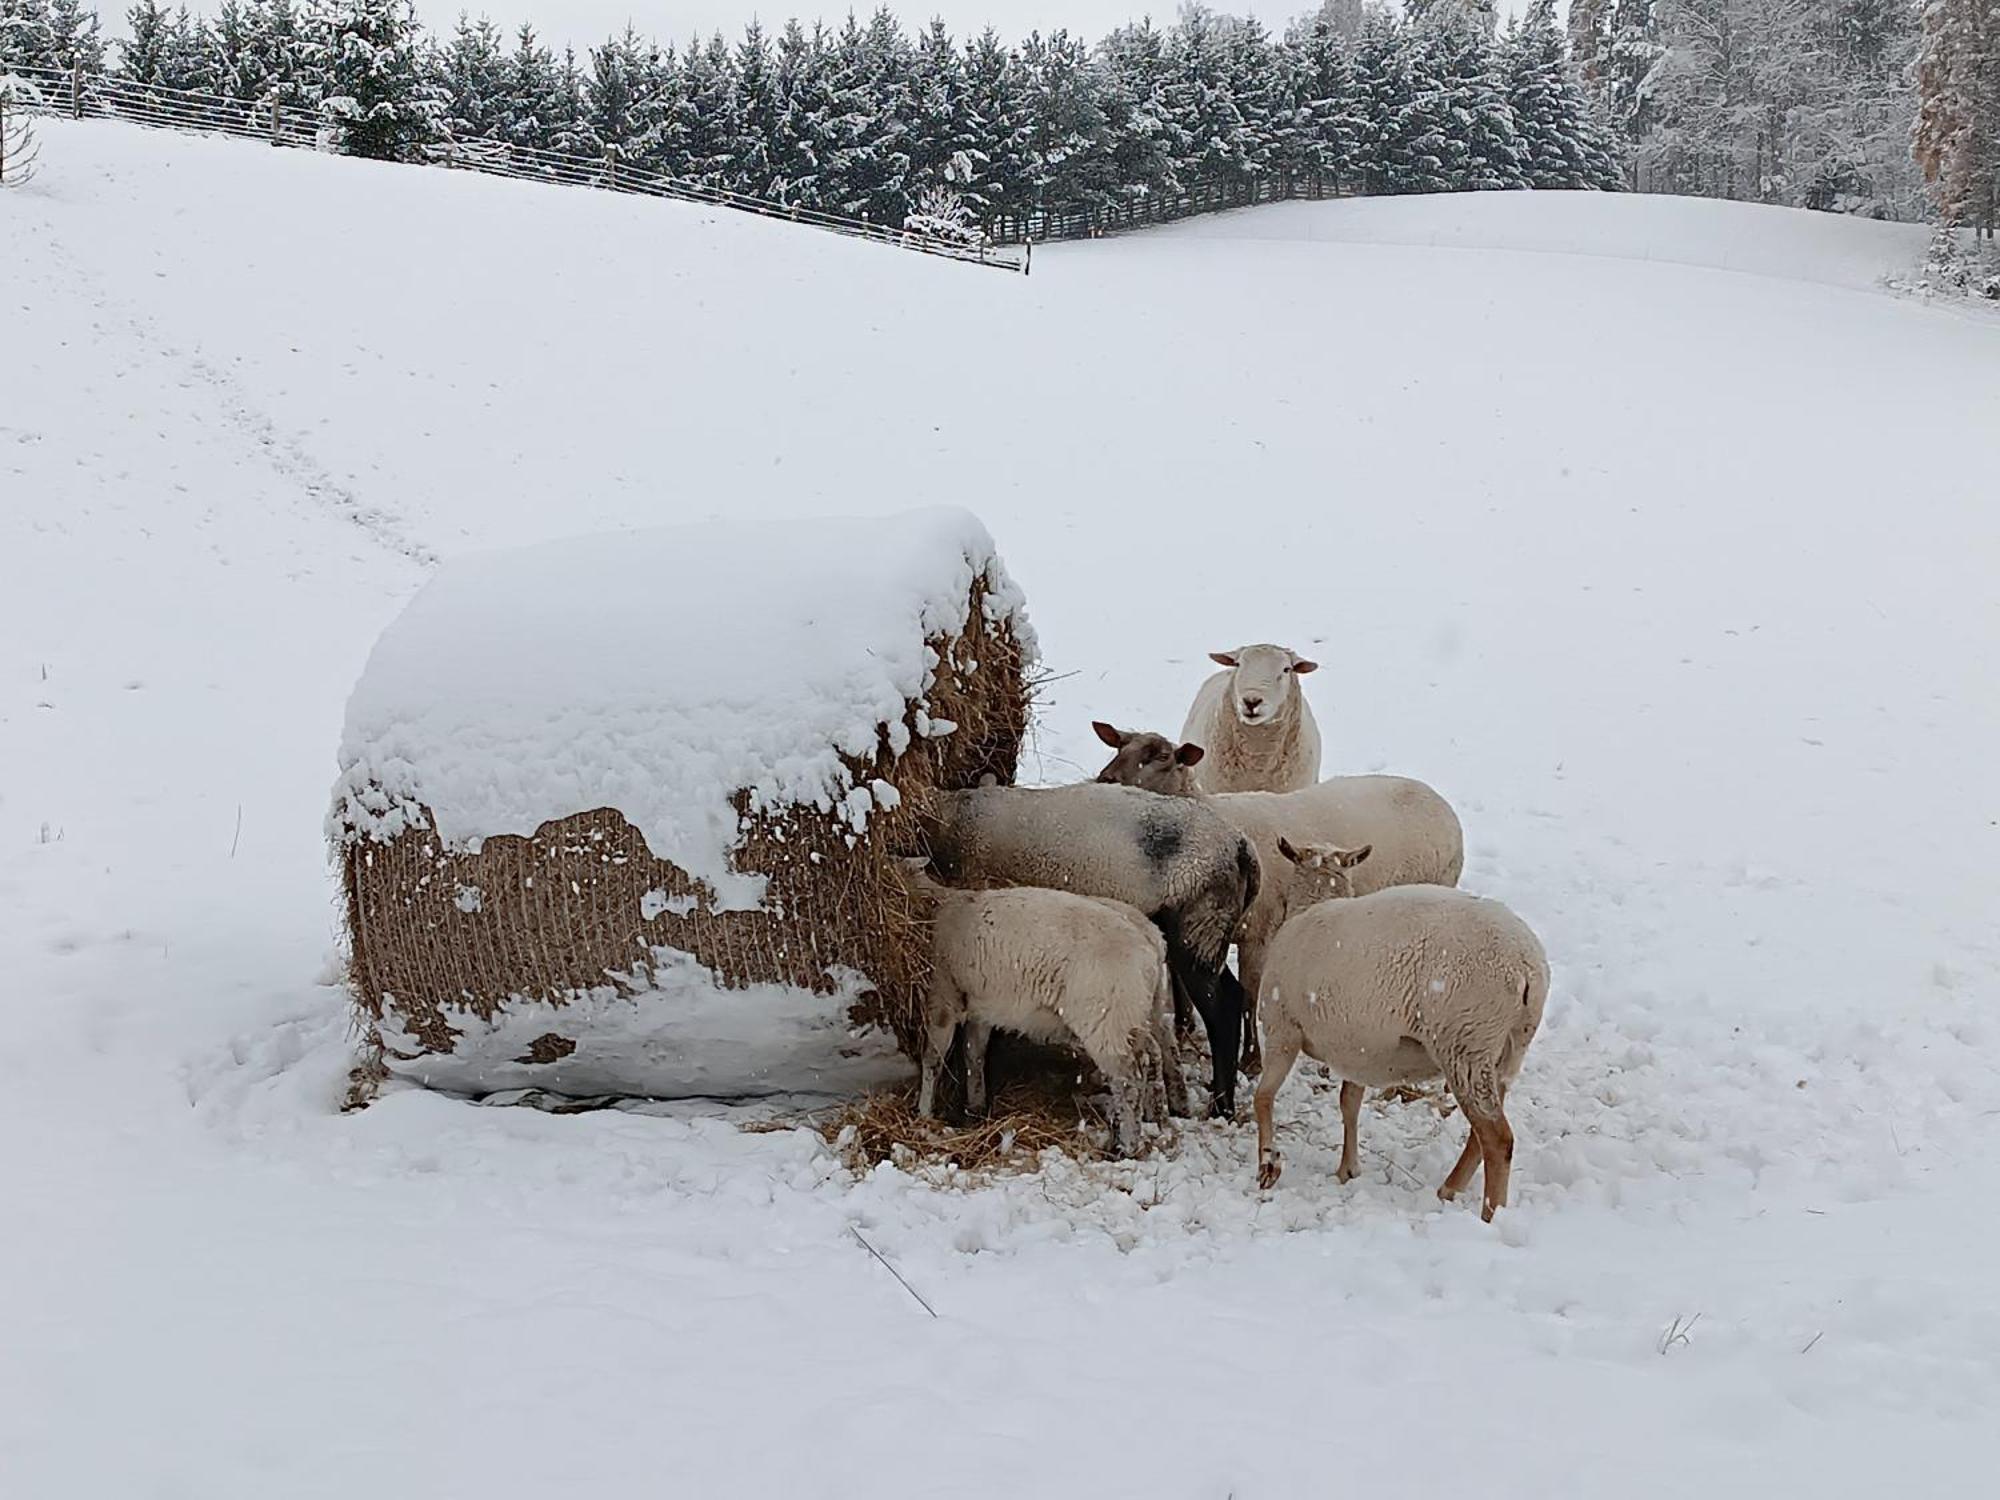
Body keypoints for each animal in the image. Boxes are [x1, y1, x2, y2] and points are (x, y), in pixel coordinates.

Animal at [896, 864, 1184, 1160]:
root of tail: (1152, 944)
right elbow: (973, 1055)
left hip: (1108, 1019)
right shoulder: (981, 1008)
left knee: (1128, 1080)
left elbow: (933, 1058)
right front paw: (975, 1106)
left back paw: (1126, 1144)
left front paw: (923, 1112)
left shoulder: (943, 997)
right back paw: (1156, 1117)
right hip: (1141, 1012)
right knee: (1156, 1053)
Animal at [916, 788, 1256, 1120]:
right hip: (1206, 931)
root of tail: (1240, 848)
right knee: (1230, 995)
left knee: (1222, 1008)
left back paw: (1221, 1106)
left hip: (1198, 928)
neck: (948, 825)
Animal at [1096, 724, 1472, 1072]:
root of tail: (1440, 802)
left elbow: (1249, 993)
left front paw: (1251, 1059)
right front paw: (1184, 1028)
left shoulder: (1259, 932)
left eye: (1162, 756)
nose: (1106, 779)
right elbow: (1179, 978)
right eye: (1119, 746)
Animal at [1248, 876, 1544, 1224]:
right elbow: (1348, 1103)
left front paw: (1268, 1164)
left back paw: (1490, 1215)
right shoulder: (1357, 1049)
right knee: (1481, 1135)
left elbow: (1263, 1097)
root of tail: (1527, 967)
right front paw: (1348, 1169)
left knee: (1498, 1139)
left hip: (1465, 1045)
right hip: (1503, 1053)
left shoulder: (1282, 1027)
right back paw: (1451, 1189)